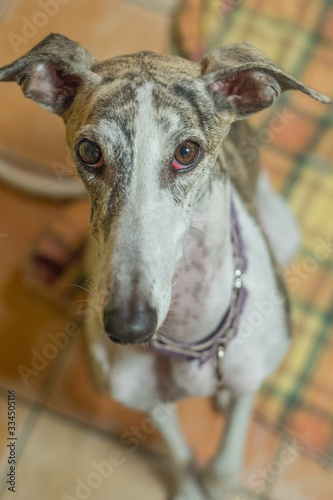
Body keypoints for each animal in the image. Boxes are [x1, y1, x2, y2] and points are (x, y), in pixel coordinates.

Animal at [0, 33, 326, 498]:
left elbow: (224, 464)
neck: (187, 339)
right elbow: (179, 453)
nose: (128, 326)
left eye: (187, 152)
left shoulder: (250, 376)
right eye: (89, 151)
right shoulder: (147, 401)